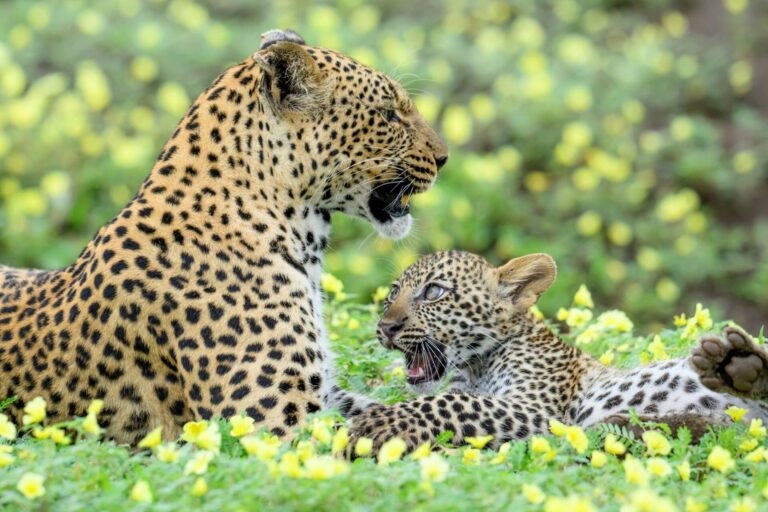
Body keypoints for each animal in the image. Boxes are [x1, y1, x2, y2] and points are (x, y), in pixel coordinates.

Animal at [348, 250, 768, 452]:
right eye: (392, 293)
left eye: (434, 292)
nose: (385, 328)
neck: (476, 367)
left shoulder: (540, 410)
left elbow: (448, 402)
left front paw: (378, 423)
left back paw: (741, 366)